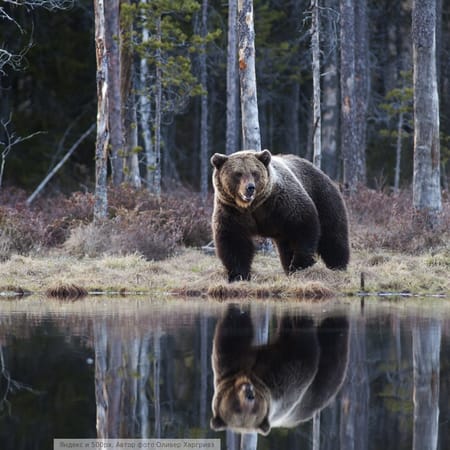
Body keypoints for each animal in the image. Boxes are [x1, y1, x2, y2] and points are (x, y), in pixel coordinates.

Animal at [209, 304, 350, 434]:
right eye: (237, 407)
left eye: (254, 408)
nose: (249, 393)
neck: (250, 374)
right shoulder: (279, 386)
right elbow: (303, 351)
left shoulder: (230, 364)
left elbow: (234, 329)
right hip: (316, 391)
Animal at [212, 150, 352, 282]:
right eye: (238, 173)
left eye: (254, 172)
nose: (250, 188)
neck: (253, 206)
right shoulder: (232, 211)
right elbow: (234, 241)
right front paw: (238, 275)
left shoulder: (281, 204)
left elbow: (303, 226)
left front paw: (300, 265)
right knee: (286, 248)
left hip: (323, 196)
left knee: (333, 235)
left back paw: (338, 267)